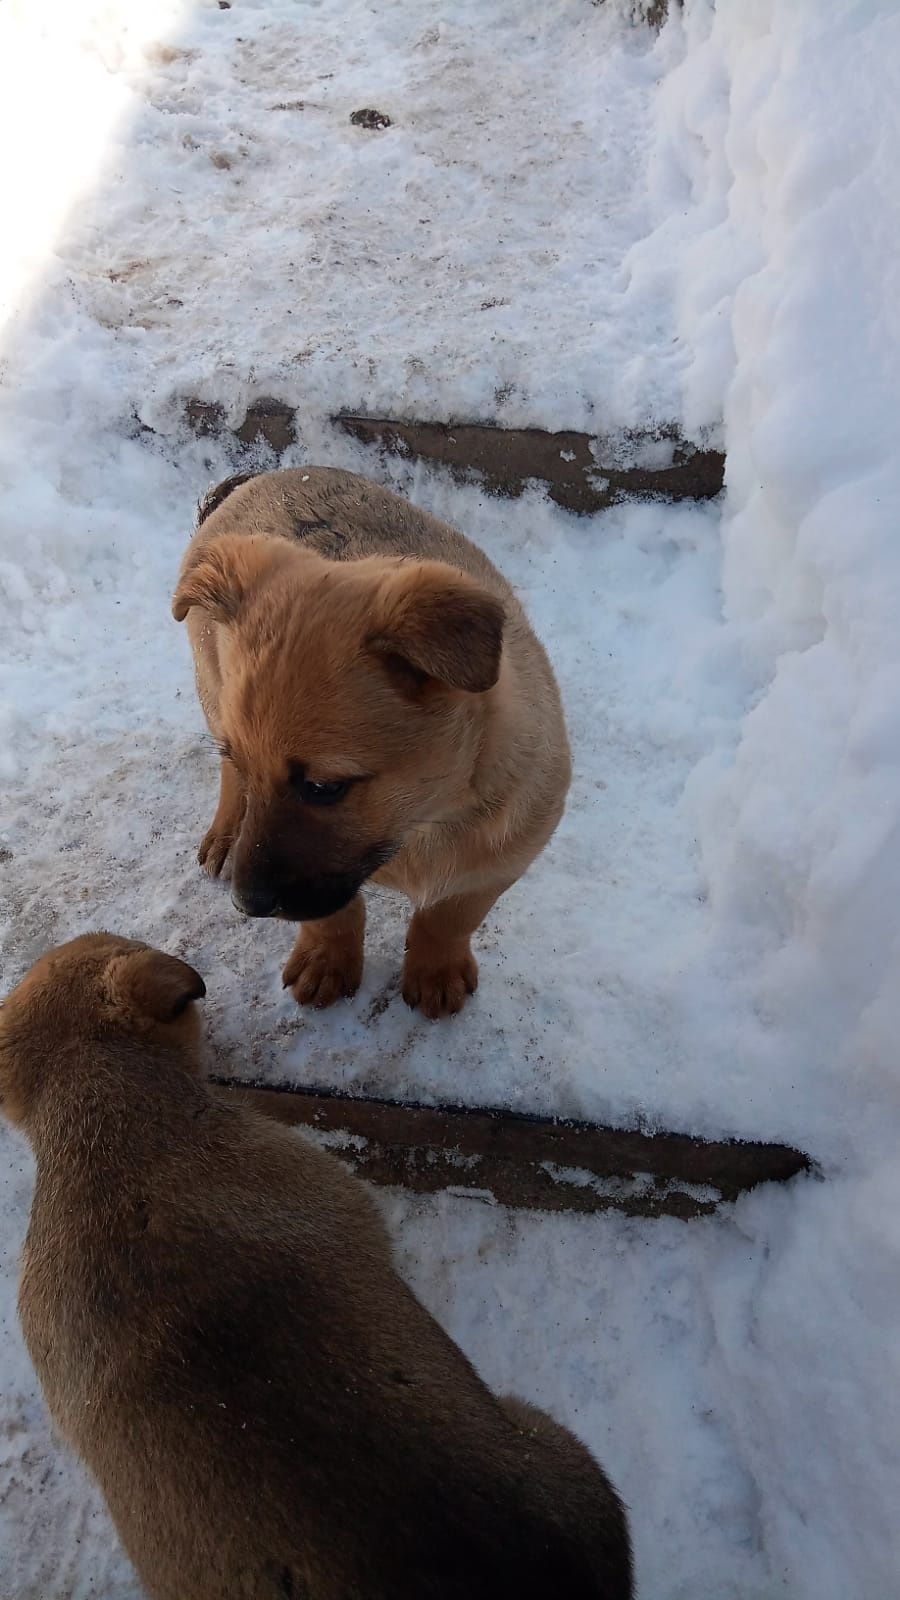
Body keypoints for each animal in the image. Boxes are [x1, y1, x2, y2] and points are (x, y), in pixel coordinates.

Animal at [173, 467, 566, 1011]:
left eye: (323, 788)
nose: (245, 904)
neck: (421, 824)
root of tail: (263, 477)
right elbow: (334, 914)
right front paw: (327, 961)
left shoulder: (502, 857)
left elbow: (449, 918)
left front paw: (435, 971)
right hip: (212, 692)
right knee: (228, 774)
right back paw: (225, 835)